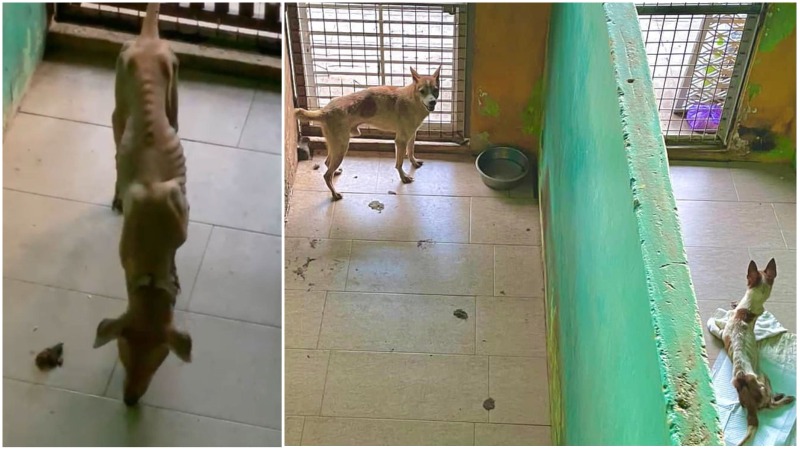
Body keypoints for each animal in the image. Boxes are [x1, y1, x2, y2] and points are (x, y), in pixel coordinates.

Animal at [296, 66, 440, 200]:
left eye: (436, 90)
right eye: (422, 91)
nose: (432, 101)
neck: (412, 99)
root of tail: (325, 110)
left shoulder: (412, 135)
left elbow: (410, 151)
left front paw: (414, 162)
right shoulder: (401, 141)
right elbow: (399, 163)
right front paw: (403, 177)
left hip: (335, 145)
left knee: (327, 163)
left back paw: (335, 173)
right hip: (342, 146)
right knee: (326, 175)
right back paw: (335, 194)